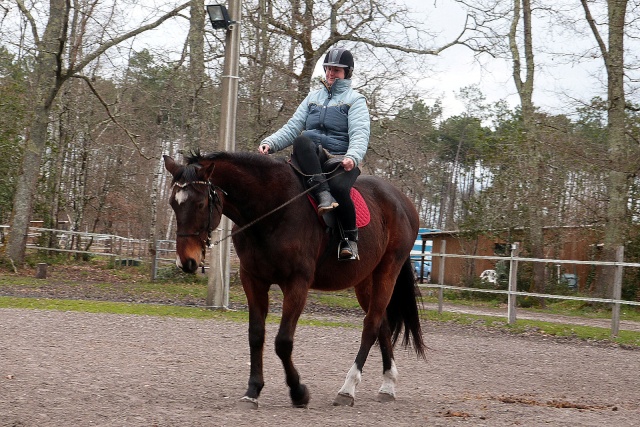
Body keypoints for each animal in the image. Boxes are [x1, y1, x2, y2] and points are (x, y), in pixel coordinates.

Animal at [162, 150, 428, 408]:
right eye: (173, 203)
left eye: (200, 204)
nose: (186, 261)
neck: (272, 210)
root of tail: (402, 200)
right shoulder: (253, 280)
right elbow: (256, 335)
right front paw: (253, 391)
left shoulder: (297, 283)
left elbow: (283, 341)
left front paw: (298, 392)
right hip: (365, 281)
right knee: (382, 323)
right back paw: (387, 386)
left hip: (387, 271)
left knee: (371, 326)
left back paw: (348, 389)